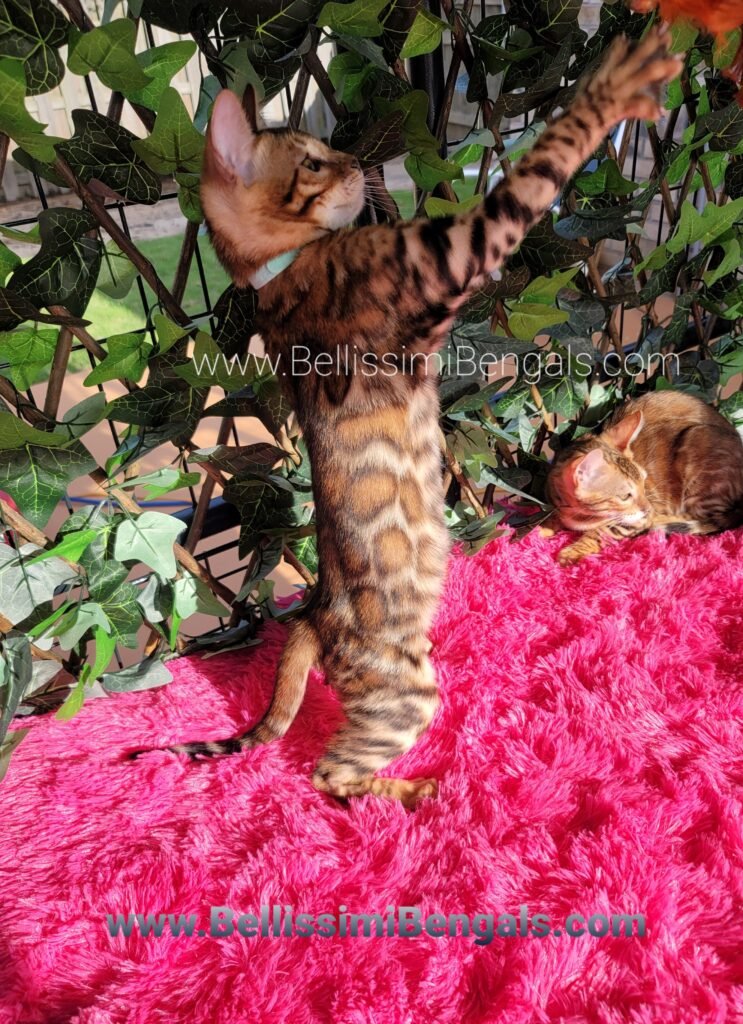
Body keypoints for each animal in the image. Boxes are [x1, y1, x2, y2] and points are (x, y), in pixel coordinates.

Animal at [132, 29, 681, 808]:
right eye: (310, 161)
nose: (358, 163)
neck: (277, 273)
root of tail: (312, 616)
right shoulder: (449, 252)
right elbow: (542, 164)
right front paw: (613, 85)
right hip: (403, 694)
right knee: (330, 776)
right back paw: (418, 793)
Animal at [545, 391, 743, 564]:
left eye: (643, 482)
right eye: (625, 495)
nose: (648, 508)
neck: (580, 516)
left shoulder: (632, 520)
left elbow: (603, 531)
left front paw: (572, 552)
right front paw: (544, 528)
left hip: (697, 442)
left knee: (702, 516)